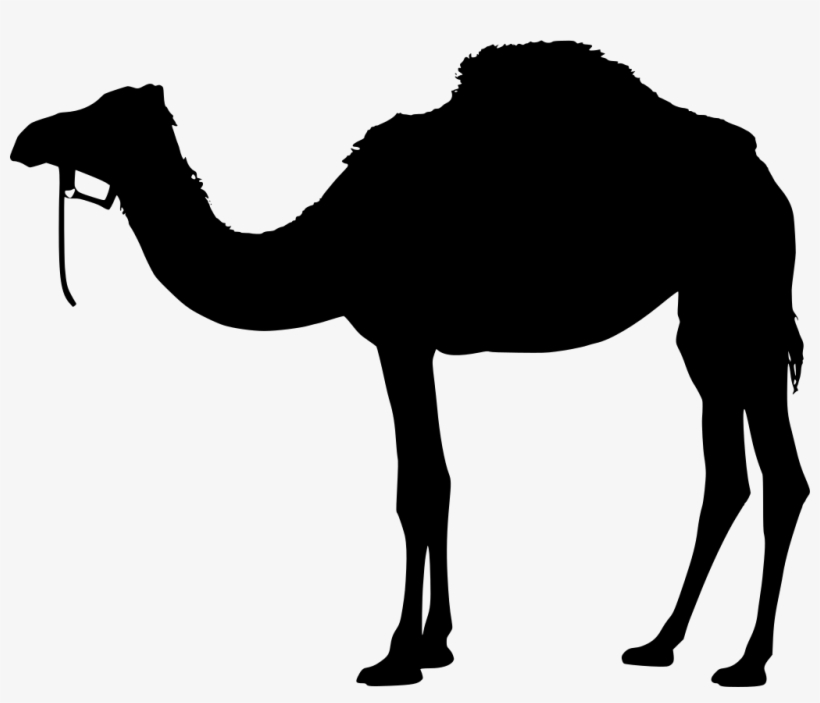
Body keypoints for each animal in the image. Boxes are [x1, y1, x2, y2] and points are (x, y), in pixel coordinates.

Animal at [11, 42, 809, 688]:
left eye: (102, 116)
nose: (26, 138)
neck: (332, 243)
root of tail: (770, 182)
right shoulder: (413, 342)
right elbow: (439, 480)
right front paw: (436, 644)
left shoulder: (398, 334)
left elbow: (417, 487)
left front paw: (395, 655)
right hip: (707, 316)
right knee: (727, 474)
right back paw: (661, 643)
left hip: (744, 290)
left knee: (783, 477)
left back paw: (747, 663)